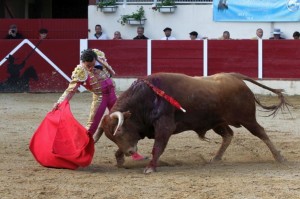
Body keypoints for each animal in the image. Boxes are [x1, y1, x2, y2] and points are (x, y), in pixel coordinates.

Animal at [94, 72, 290, 173]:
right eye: (112, 137)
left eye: (120, 131)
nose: (130, 153)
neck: (145, 99)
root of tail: (234, 76)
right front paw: (120, 159)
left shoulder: (164, 127)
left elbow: (157, 147)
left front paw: (150, 168)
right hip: (217, 122)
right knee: (228, 135)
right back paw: (216, 158)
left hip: (247, 118)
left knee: (261, 133)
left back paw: (279, 158)